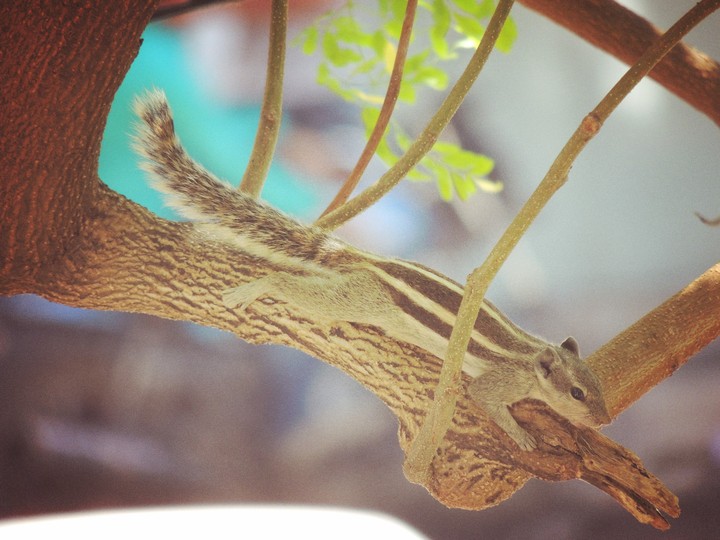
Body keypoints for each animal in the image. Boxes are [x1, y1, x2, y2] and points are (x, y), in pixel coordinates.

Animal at [132, 89, 611, 451]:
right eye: (577, 392)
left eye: (598, 386)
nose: (604, 420)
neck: (532, 356)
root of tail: (370, 261)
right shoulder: (498, 382)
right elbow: (486, 400)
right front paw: (521, 435)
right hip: (365, 301)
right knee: (296, 287)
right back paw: (259, 286)